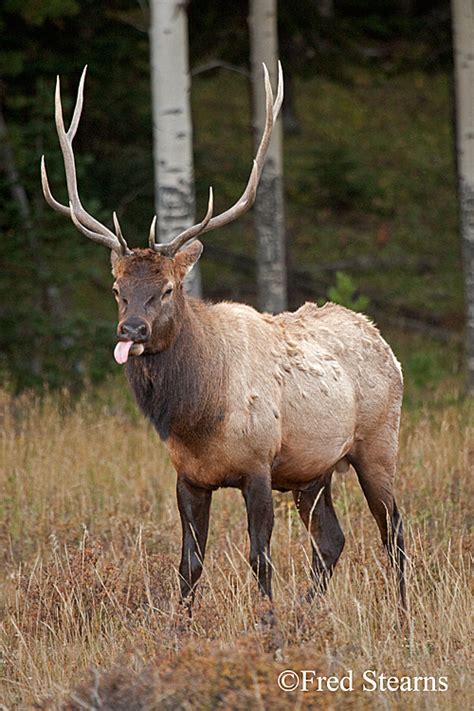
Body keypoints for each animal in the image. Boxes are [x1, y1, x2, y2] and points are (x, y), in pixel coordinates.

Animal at [41, 67, 408, 616]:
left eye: (167, 289)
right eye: (117, 289)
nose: (132, 330)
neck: (197, 417)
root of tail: (382, 339)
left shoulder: (258, 464)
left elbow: (260, 558)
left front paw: (267, 622)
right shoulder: (188, 476)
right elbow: (189, 565)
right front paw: (181, 626)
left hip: (378, 443)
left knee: (395, 533)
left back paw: (401, 616)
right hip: (314, 469)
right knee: (332, 539)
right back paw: (308, 613)